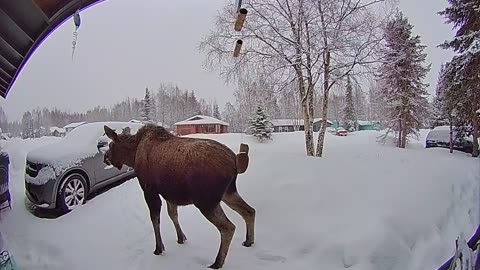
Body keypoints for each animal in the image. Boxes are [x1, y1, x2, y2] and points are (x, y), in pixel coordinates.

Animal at [101, 124, 255, 268]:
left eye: (111, 145)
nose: (105, 157)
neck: (132, 156)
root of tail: (235, 161)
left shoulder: (149, 189)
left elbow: (155, 219)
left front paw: (159, 248)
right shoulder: (169, 194)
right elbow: (173, 214)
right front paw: (181, 238)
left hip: (206, 201)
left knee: (228, 227)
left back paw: (217, 263)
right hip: (228, 192)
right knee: (249, 211)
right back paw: (249, 241)